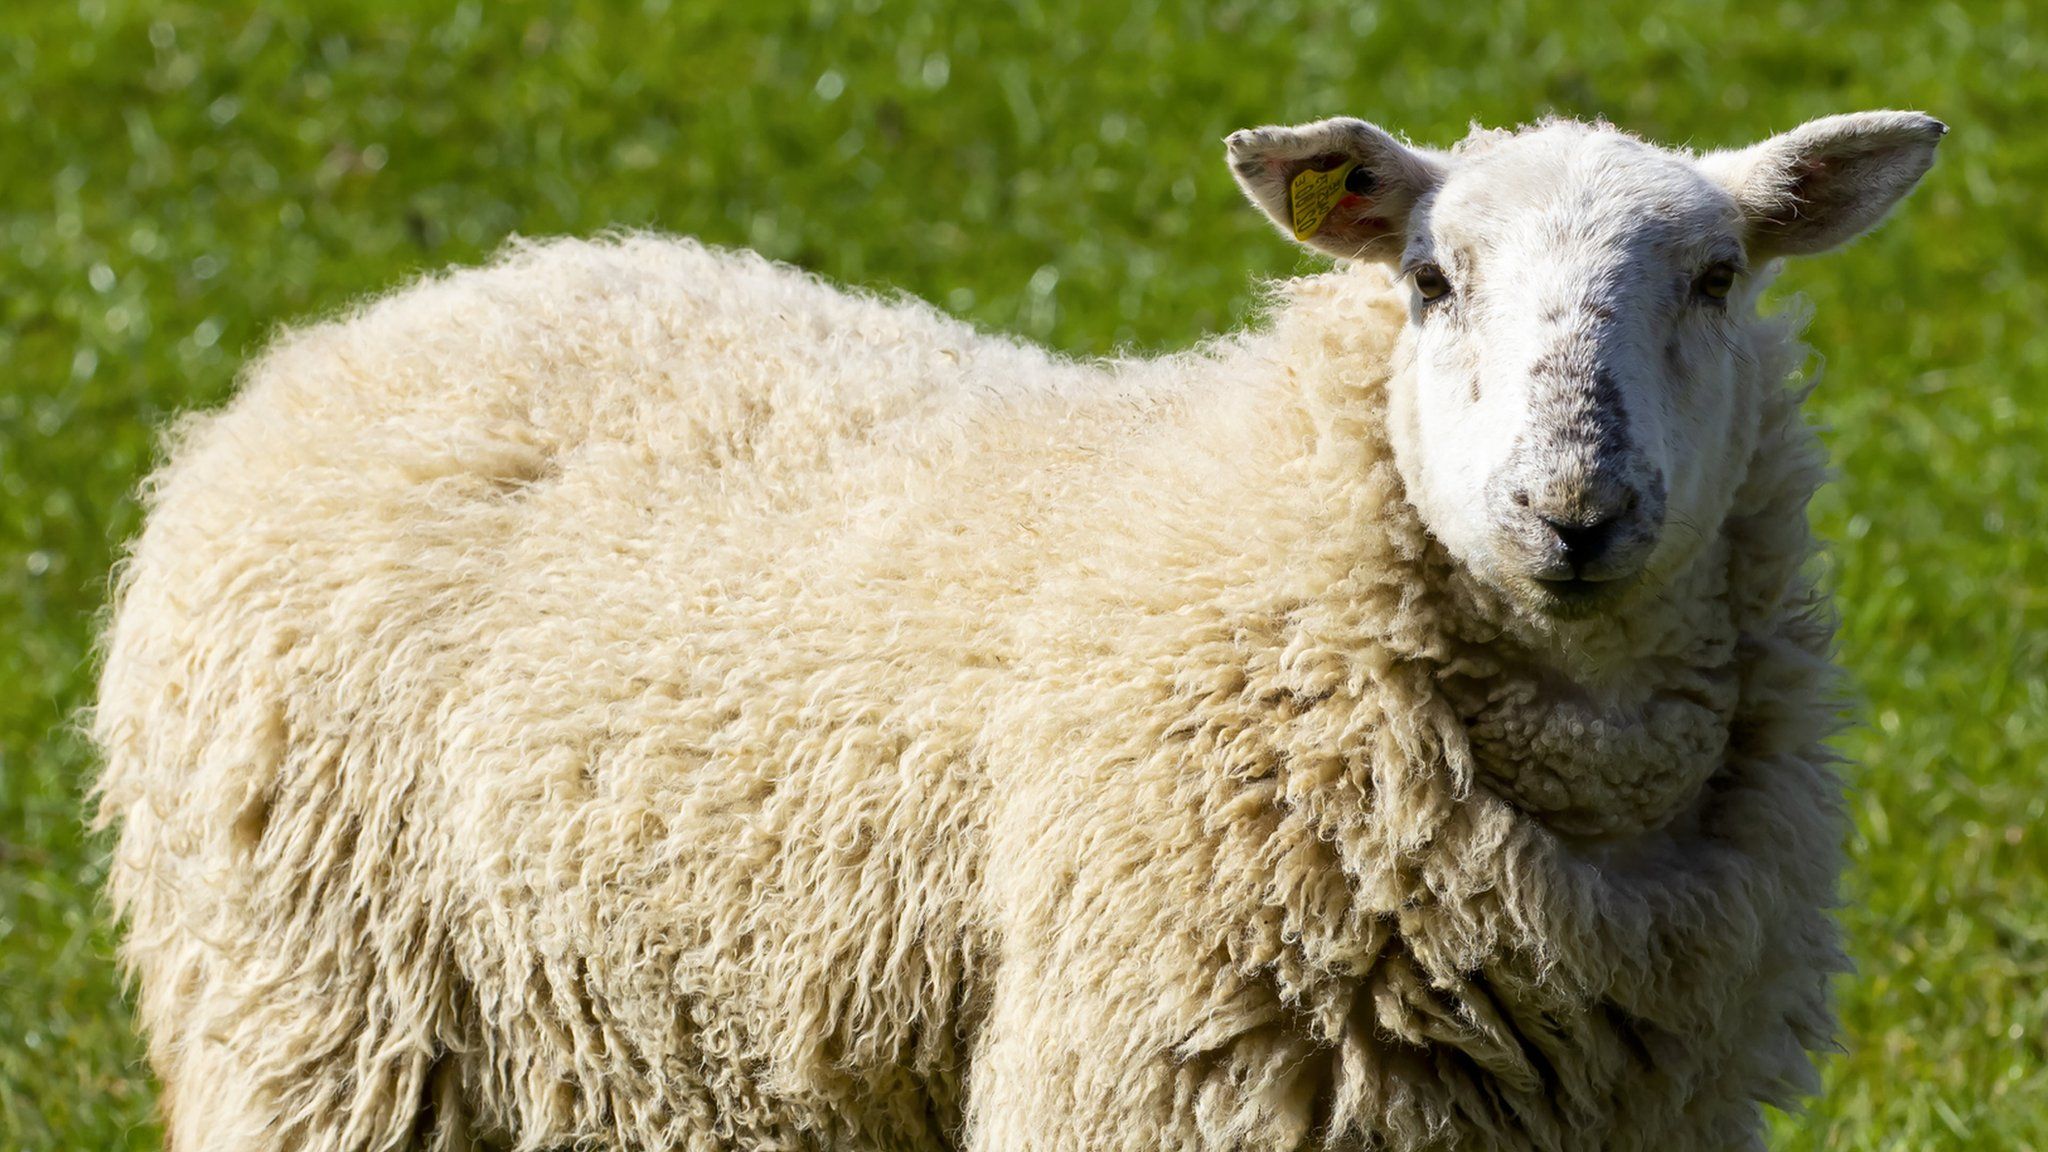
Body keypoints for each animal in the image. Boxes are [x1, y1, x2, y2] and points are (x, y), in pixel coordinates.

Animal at [96, 109, 1941, 1147]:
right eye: (1428, 280)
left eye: (1716, 277)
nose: (1572, 507)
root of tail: (362, 332)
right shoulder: (1165, 1076)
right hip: (322, 1019)